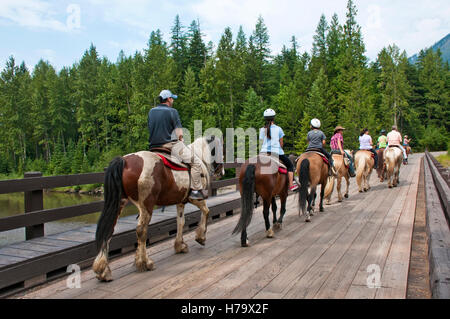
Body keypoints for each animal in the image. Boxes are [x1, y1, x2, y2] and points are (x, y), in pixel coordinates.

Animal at [93, 136, 225, 282]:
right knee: (141, 230)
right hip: (146, 205)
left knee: (109, 230)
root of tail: (124, 161)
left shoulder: (180, 202)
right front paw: (200, 237)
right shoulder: (196, 198)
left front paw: (180, 245)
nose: (222, 171)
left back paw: (103, 270)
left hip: (120, 203)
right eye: (221, 148)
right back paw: (145, 263)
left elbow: (181, 222)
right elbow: (206, 211)